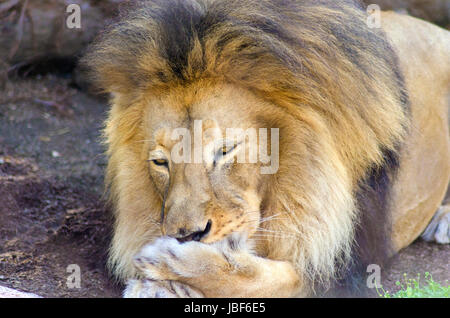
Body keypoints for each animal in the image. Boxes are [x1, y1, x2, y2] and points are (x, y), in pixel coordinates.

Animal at [81, 0, 450, 298]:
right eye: (160, 162)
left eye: (225, 151)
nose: (188, 236)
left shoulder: (343, 266)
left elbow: (261, 279)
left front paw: (170, 263)